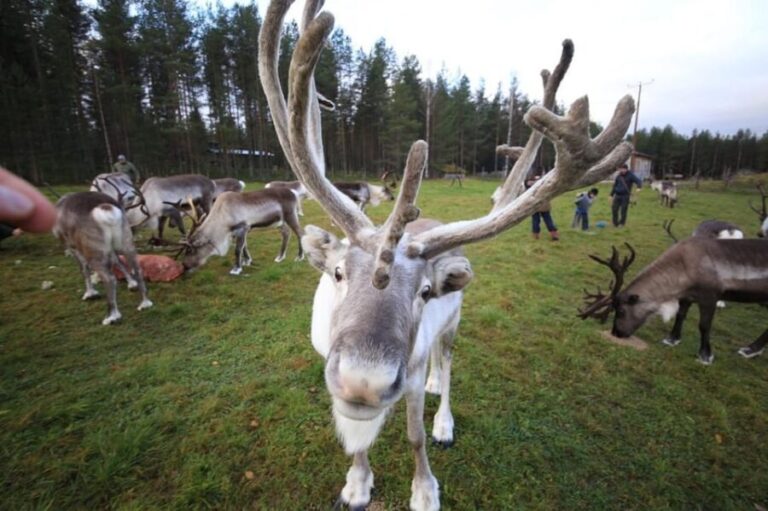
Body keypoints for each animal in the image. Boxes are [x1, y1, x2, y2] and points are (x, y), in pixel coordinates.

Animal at [53, 191, 153, 325]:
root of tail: (106, 209)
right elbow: (117, 261)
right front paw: (131, 283)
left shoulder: (72, 247)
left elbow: (84, 270)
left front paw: (90, 293)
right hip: (126, 244)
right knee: (137, 270)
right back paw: (145, 303)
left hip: (94, 252)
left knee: (110, 278)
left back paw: (112, 317)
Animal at [259, 2, 634, 509]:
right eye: (337, 273)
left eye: (424, 292)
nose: (364, 382)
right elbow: (355, 439)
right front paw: (357, 484)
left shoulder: (413, 368)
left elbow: (414, 435)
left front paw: (425, 489)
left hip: (454, 324)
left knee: (448, 365)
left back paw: (444, 417)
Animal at [579, 238, 768, 365]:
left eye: (621, 310)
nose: (616, 333)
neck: (682, 270)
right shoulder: (686, 295)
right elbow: (680, 315)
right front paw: (672, 339)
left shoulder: (710, 295)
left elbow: (704, 325)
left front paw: (705, 355)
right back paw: (750, 349)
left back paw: (750, 349)